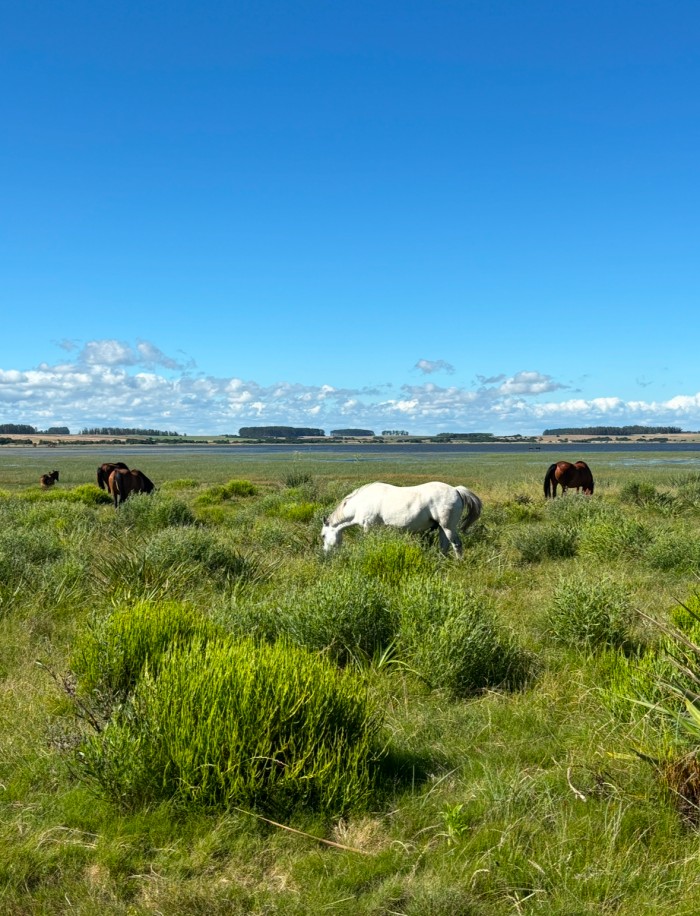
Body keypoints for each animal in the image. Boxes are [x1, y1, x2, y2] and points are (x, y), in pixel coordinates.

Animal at [322, 484, 482, 556]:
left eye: (323, 536)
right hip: (442, 528)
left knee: (457, 545)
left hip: (448, 527)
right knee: (444, 546)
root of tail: (456, 490)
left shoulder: (369, 526)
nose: (325, 553)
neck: (360, 502)